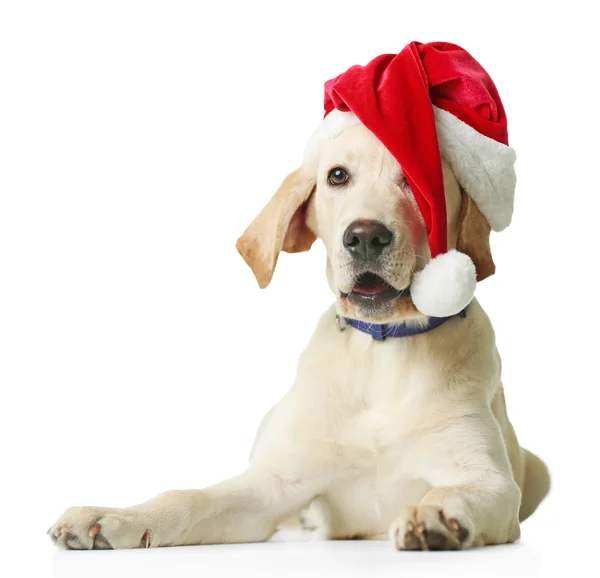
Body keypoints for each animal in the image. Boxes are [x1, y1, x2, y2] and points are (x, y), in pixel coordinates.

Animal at [50, 41, 548, 548]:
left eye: (415, 180)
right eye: (337, 176)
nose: (364, 237)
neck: (383, 352)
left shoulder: (488, 478)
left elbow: (461, 490)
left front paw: (437, 515)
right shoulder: (272, 487)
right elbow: (191, 497)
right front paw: (116, 517)